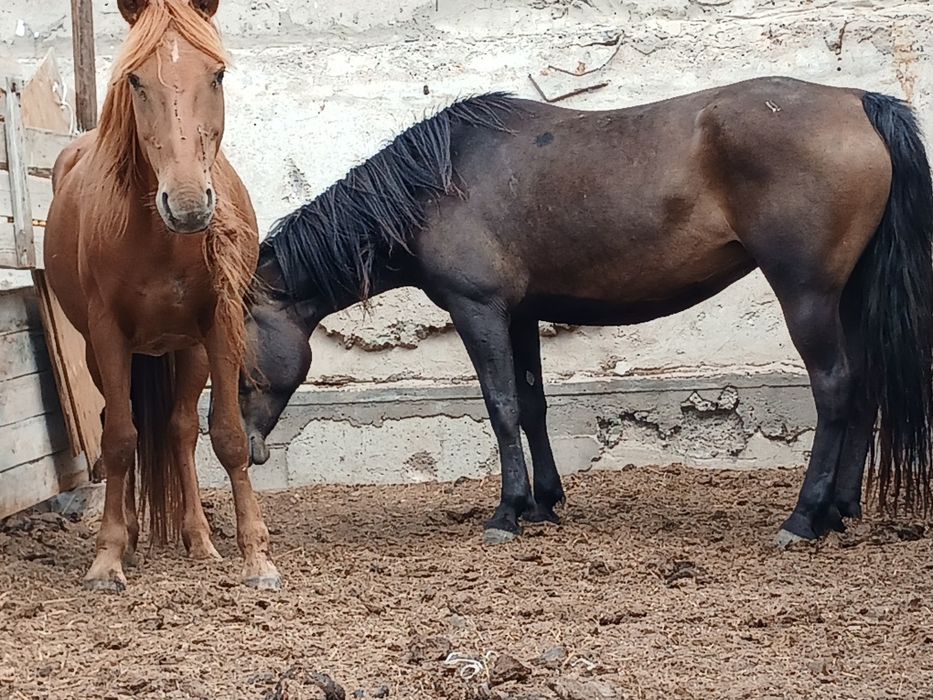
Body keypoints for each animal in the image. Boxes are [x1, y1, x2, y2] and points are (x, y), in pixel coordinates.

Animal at [44, 0, 279, 590]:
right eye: (135, 80)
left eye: (217, 75)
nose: (190, 204)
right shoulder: (107, 334)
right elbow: (119, 440)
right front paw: (107, 557)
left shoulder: (221, 325)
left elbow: (228, 435)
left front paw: (256, 557)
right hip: (105, 353)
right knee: (119, 422)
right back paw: (129, 538)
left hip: (188, 350)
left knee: (179, 431)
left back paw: (199, 540)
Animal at [239, 77, 933, 547]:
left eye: (241, 363)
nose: (246, 450)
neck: (439, 184)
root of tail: (856, 101)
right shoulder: (519, 315)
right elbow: (532, 405)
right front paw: (543, 502)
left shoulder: (478, 311)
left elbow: (501, 407)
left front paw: (507, 512)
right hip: (847, 296)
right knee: (864, 387)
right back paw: (840, 510)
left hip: (807, 293)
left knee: (835, 387)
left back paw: (804, 517)